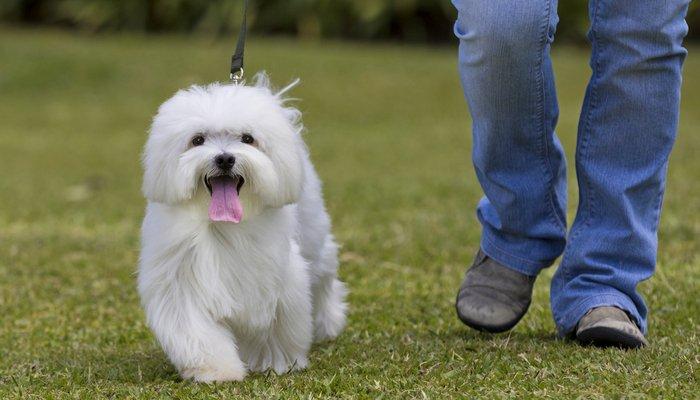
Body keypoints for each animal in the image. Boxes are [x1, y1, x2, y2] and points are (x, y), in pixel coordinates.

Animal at [137, 73, 348, 382]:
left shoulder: (274, 280)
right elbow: (197, 331)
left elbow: (274, 326)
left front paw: (275, 362)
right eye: (197, 140)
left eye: (248, 139)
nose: (225, 158)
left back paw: (329, 322)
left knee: (323, 275)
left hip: (313, 236)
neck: (223, 225)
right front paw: (216, 370)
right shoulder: (180, 282)